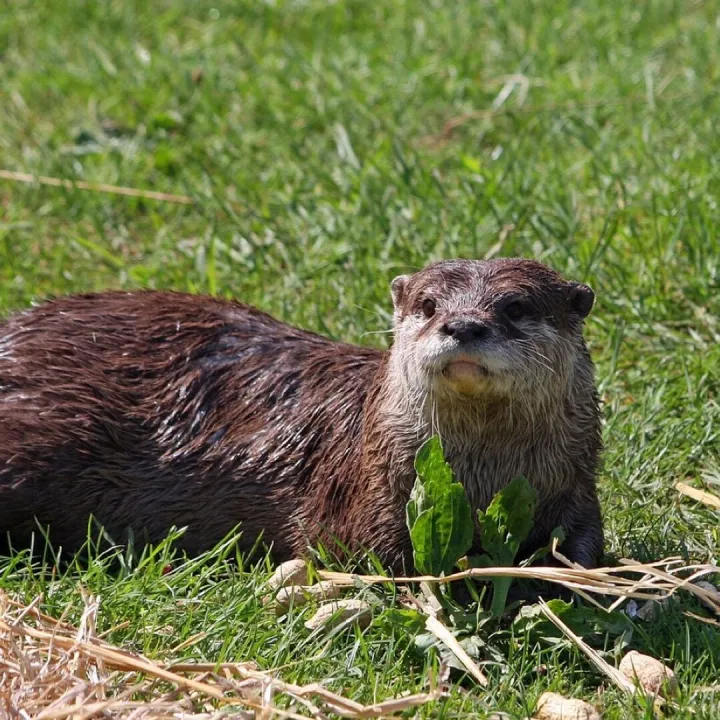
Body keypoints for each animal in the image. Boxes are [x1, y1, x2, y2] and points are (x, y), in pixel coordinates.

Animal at [0, 258, 603, 571]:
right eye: (429, 305)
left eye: (516, 307)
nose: (464, 325)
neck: (483, 478)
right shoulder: (364, 494)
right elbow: (366, 558)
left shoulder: (576, 481)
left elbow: (586, 545)